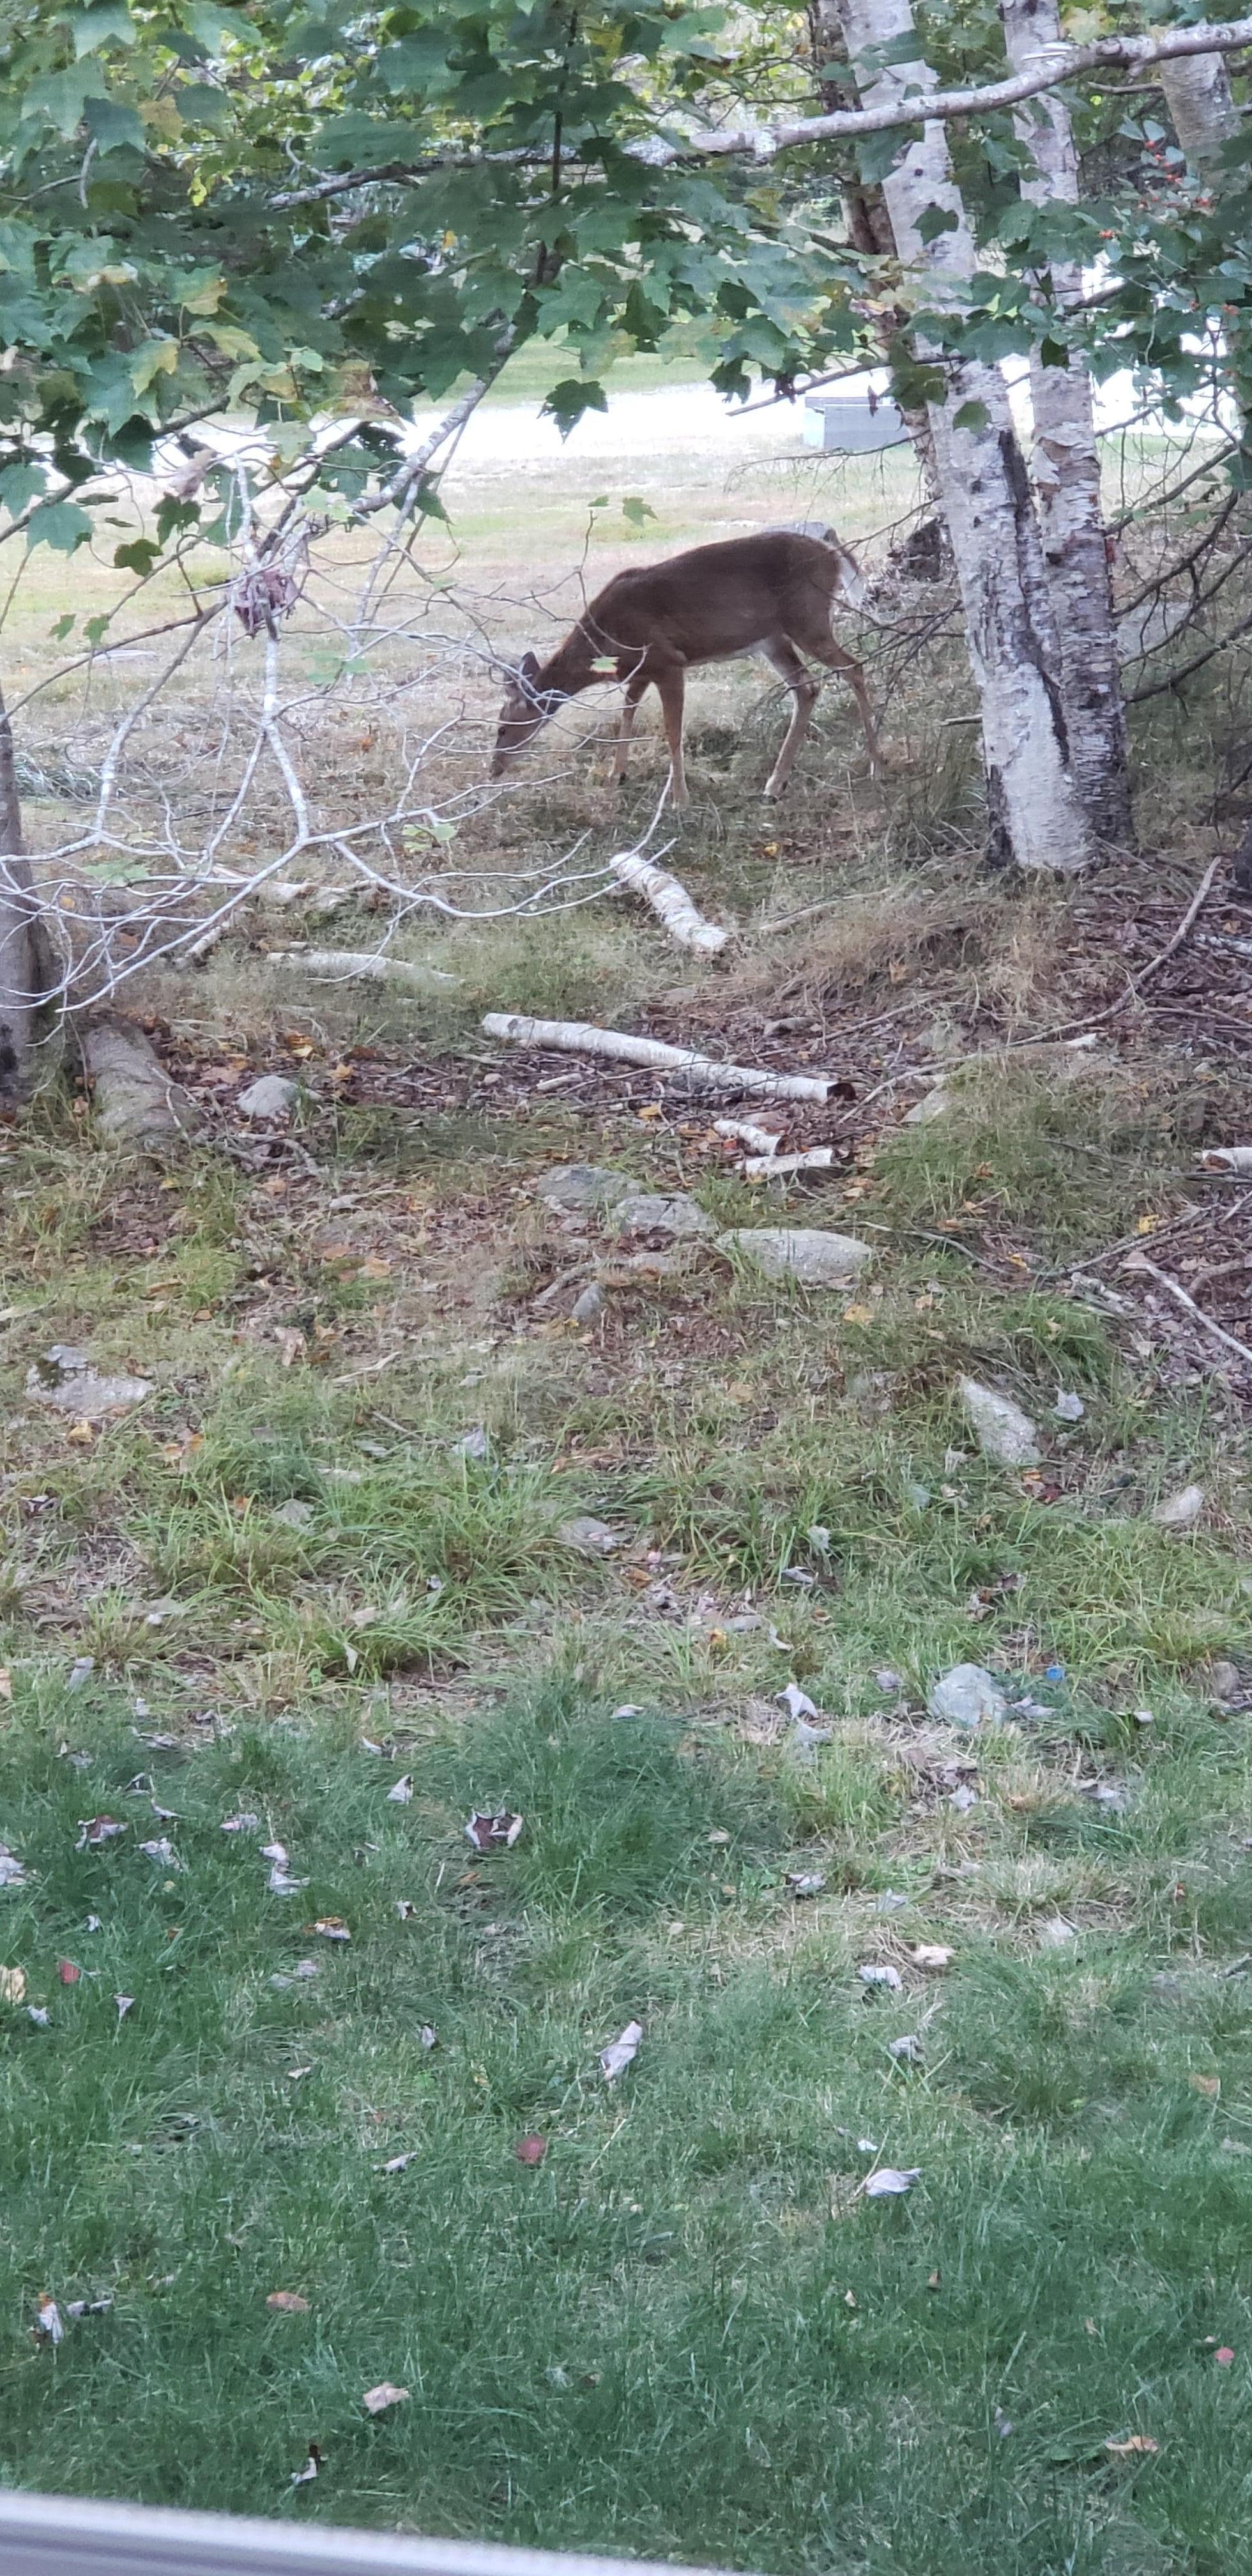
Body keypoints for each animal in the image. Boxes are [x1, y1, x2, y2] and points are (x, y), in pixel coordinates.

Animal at [491, 529, 877, 806]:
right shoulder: (641, 671)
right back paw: (775, 784)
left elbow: (672, 731)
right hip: (773, 638)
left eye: (502, 727)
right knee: (807, 687)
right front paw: (616, 775)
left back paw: (875, 763)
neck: (604, 640)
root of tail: (833, 555)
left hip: (807, 618)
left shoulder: (668, 661)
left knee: (854, 667)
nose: (494, 768)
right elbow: (627, 712)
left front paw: (679, 799)